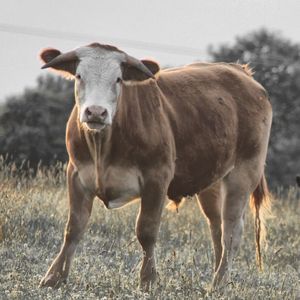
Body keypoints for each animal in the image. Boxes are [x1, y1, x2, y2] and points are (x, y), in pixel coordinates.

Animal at [37, 43, 272, 290]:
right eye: (79, 76)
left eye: (118, 79)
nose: (96, 112)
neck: (104, 146)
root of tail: (240, 71)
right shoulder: (77, 175)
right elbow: (74, 227)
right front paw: (54, 277)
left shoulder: (156, 178)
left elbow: (146, 230)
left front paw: (148, 279)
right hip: (211, 180)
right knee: (216, 227)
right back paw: (218, 274)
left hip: (244, 173)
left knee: (231, 231)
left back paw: (219, 283)